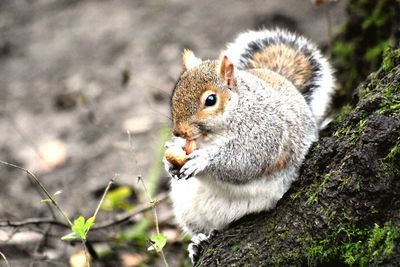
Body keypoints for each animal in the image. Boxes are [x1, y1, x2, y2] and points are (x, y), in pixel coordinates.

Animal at [162, 28, 334, 262]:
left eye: (210, 100)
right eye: (175, 94)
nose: (178, 132)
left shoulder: (267, 132)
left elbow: (245, 160)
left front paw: (203, 160)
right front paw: (170, 162)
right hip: (187, 208)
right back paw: (199, 242)